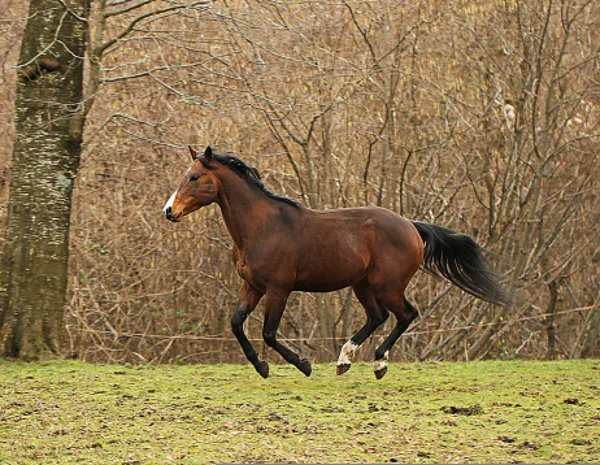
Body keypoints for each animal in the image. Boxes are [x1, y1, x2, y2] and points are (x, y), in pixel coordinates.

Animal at [165, 145, 510, 376]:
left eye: (194, 177)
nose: (169, 211)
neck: (262, 226)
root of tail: (412, 226)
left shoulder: (278, 289)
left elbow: (269, 333)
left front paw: (303, 364)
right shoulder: (252, 286)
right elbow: (237, 324)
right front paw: (261, 366)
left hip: (387, 285)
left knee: (406, 314)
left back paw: (379, 362)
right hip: (362, 284)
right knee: (378, 316)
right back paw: (345, 360)